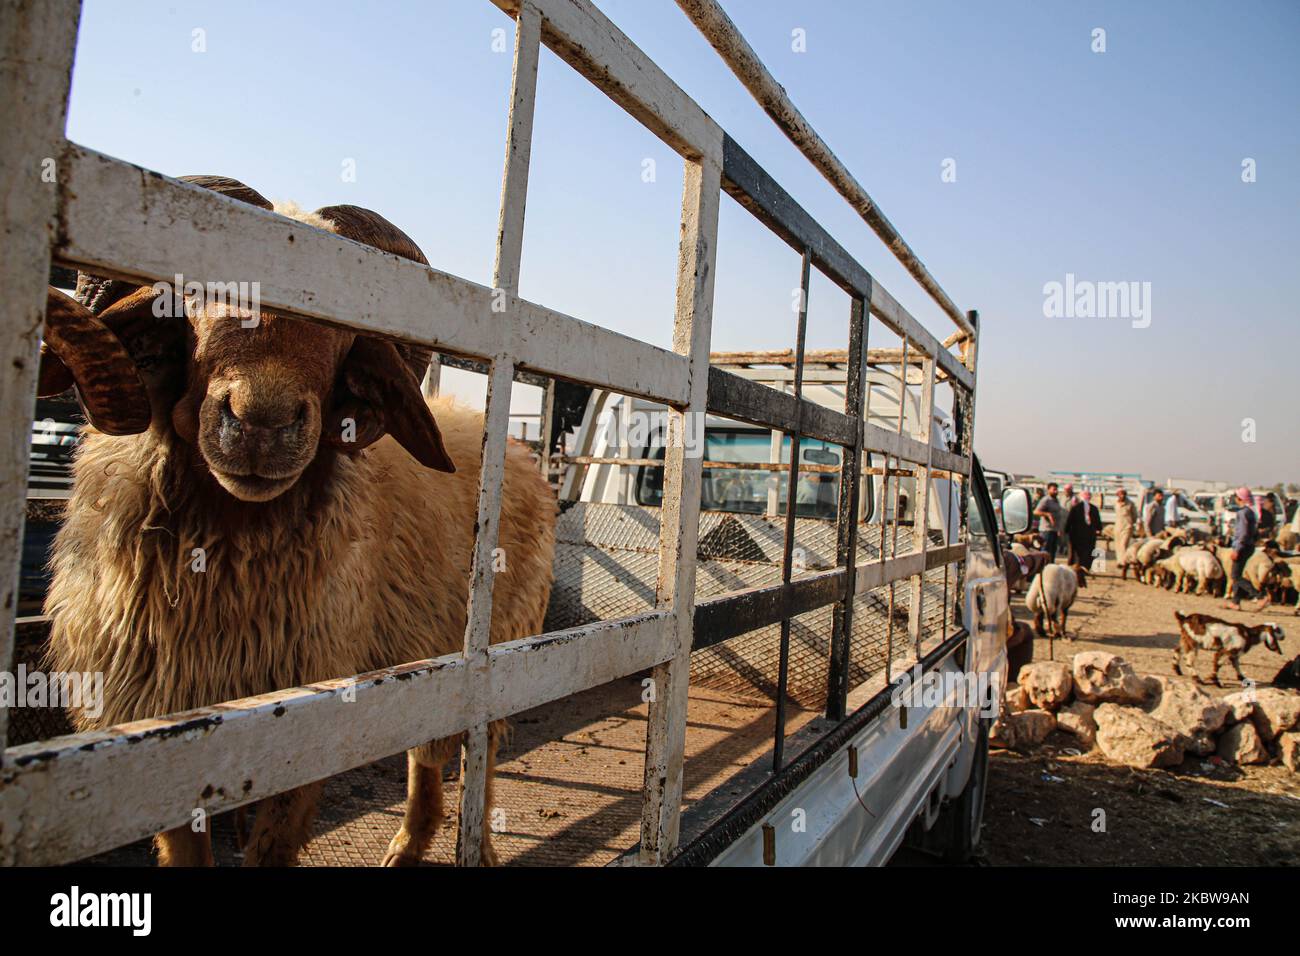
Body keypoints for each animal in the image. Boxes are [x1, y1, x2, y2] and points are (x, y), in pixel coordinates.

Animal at [39, 178, 559, 868]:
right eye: (192, 296)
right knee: (426, 748)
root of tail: (522, 454)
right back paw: (407, 845)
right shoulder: (164, 734)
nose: (262, 422)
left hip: (503, 641)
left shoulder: (303, 726)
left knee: (480, 746)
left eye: (348, 328)